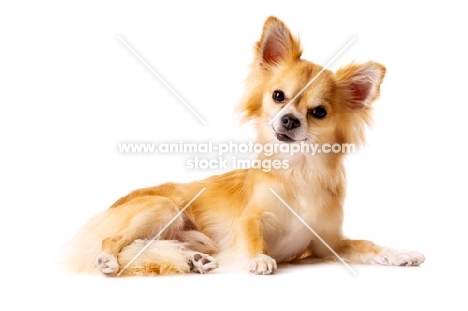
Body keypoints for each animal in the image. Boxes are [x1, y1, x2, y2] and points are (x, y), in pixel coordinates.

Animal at [66, 15, 424, 276]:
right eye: (278, 96)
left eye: (319, 112)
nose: (289, 120)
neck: (299, 170)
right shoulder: (249, 220)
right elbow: (252, 233)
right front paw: (260, 258)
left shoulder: (328, 244)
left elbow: (366, 245)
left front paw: (398, 253)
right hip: (164, 208)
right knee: (115, 239)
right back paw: (109, 260)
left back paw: (197, 261)